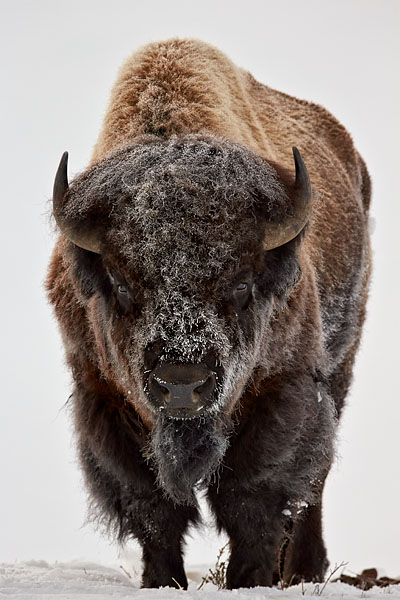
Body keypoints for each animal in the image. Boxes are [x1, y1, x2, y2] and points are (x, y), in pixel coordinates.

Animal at [47, 38, 372, 592]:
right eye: (121, 284)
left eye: (241, 284)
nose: (182, 382)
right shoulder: (103, 396)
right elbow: (152, 505)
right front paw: (162, 581)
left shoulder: (282, 390)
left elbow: (254, 495)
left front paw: (249, 579)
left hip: (339, 368)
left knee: (313, 486)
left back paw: (304, 569)